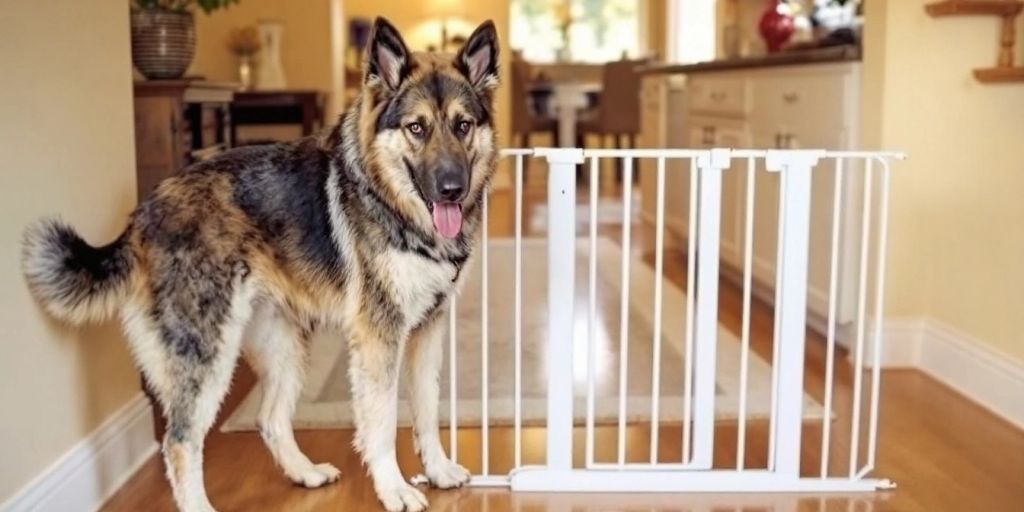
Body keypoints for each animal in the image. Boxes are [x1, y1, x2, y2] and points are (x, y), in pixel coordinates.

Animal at [22, 17, 501, 512]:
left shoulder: (427, 331)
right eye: (417, 128)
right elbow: (383, 423)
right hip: (207, 356)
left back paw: (305, 473)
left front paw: (438, 469)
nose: (452, 189)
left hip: (284, 348)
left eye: (463, 126)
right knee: (178, 441)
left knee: (269, 418)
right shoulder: (378, 340)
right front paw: (394, 489)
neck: (393, 202)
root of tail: (142, 214)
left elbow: (427, 408)